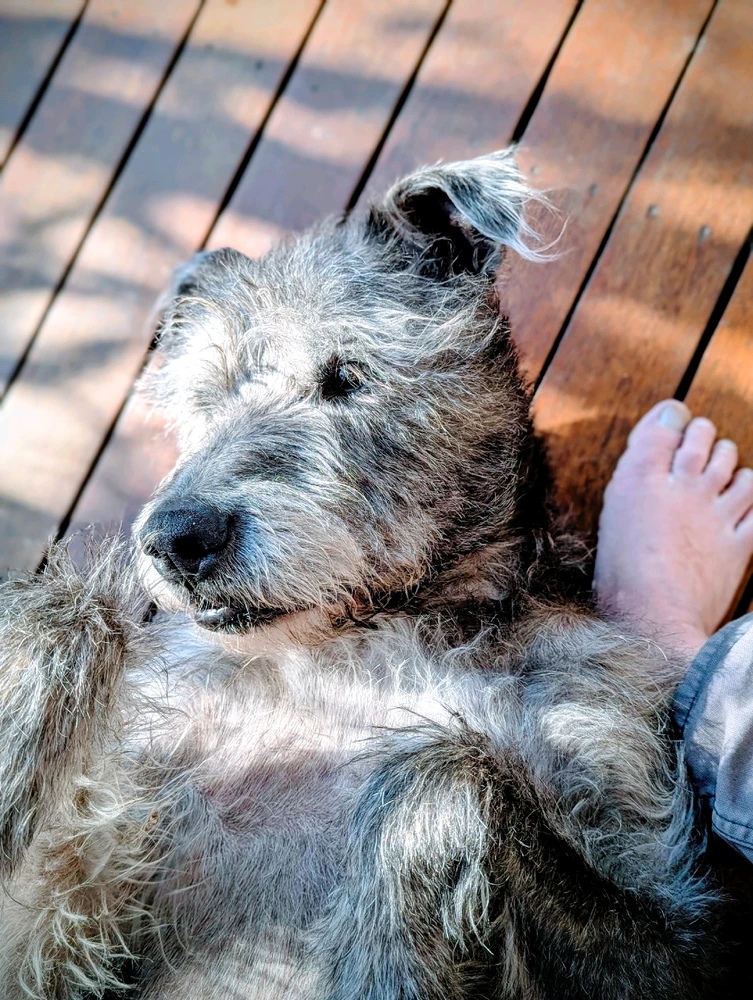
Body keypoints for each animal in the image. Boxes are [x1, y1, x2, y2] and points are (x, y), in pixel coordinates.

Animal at [0, 150, 721, 999]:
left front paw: (380, 958)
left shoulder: (668, 907)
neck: (374, 640)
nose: (176, 537)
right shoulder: (73, 917)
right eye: (205, 399)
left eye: (346, 375)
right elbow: (60, 616)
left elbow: (445, 778)